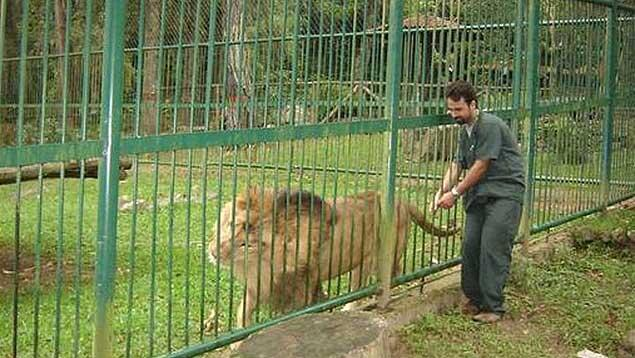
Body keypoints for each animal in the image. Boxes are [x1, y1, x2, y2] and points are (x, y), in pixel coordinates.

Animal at [209, 187, 458, 330]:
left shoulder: (302, 283)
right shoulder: (263, 283)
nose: (213, 251)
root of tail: (401, 200)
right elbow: (242, 312)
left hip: (373, 258)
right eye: (232, 224)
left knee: (386, 276)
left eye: (247, 243)